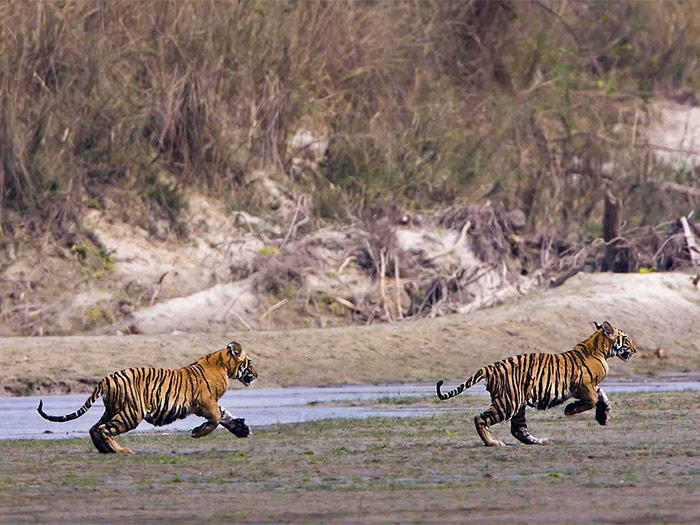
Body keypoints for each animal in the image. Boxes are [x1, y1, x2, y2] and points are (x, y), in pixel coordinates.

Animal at [37, 338, 258, 452]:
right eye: (250, 362)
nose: (256, 375)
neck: (223, 366)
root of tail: (106, 378)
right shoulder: (205, 402)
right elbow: (216, 418)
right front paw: (198, 432)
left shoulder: (209, 403)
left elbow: (225, 415)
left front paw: (242, 429)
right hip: (132, 413)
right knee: (104, 429)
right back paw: (121, 451)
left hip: (114, 410)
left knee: (94, 428)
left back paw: (105, 450)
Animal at [434, 320, 636, 446]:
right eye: (626, 338)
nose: (635, 350)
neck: (600, 349)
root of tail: (490, 367)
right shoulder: (584, 385)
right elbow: (593, 399)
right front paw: (570, 410)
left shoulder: (589, 387)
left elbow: (602, 395)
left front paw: (603, 416)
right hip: (508, 402)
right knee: (480, 418)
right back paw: (493, 443)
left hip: (517, 404)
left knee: (518, 430)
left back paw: (540, 441)